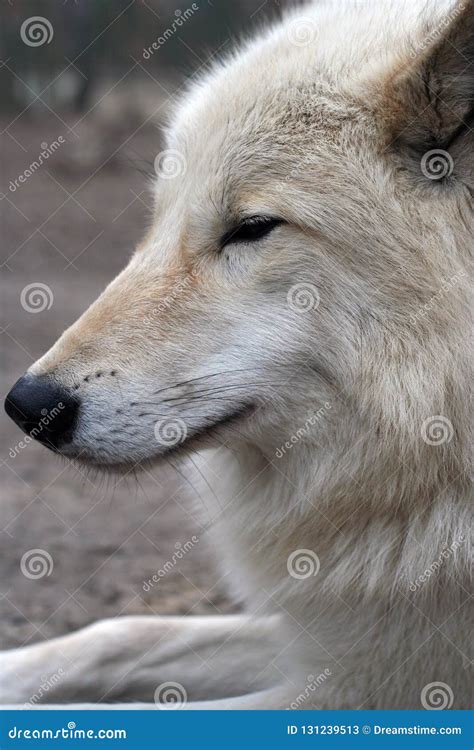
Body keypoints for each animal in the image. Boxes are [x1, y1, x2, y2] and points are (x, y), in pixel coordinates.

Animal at [2, 0, 470, 712]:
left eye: (251, 229)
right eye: (158, 222)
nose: (29, 406)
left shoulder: (383, 689)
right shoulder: (344, 641)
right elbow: (123, 632)